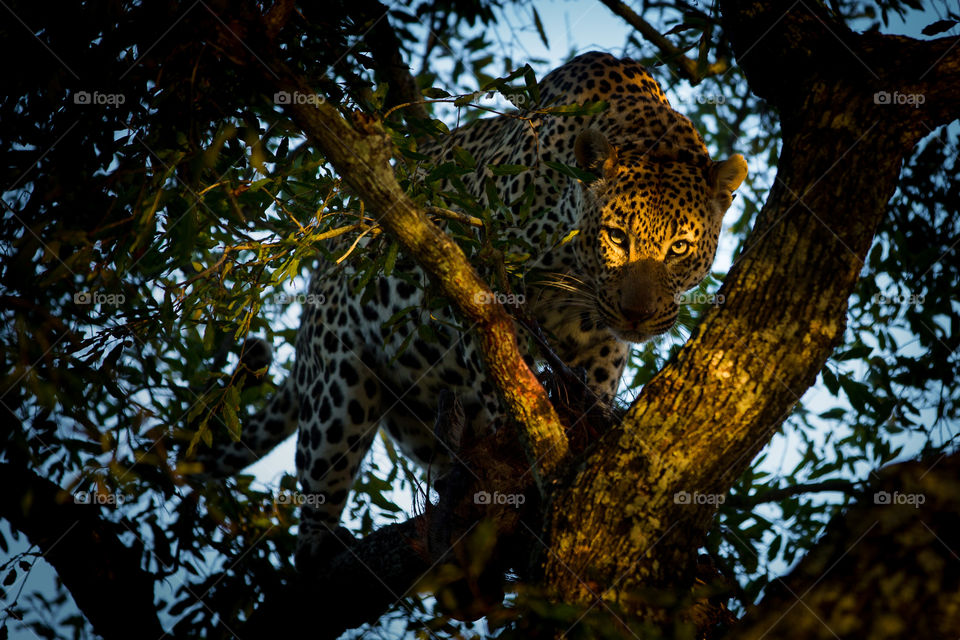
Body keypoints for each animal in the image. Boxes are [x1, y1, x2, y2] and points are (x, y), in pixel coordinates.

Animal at [197, 52, 752, 568]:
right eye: (617, 237)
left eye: (679, 248)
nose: (638, 314)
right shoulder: (476, 291)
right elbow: (507, 380)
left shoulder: (600, 339)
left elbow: (590, 384)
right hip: (338, 389)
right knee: (319, 487)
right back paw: (323, 546)